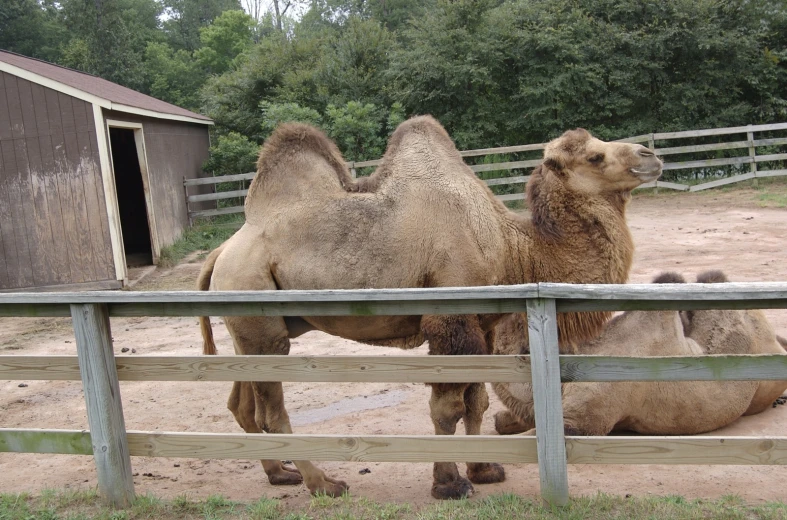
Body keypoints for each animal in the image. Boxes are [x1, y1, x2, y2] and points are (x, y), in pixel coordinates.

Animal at [195, 116, 660, 498]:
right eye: (595, 155)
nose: (650, 155)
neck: (512, 246)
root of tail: (220, 253)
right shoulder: (449, 318)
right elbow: (447, 407)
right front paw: (449, 483)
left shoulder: (482, 324)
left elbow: (477, 401)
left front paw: (484, 469)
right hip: (257, 311)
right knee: (272, 410)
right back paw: (324, 483)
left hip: (252, 328)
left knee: (243, 404)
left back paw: (280, 473)